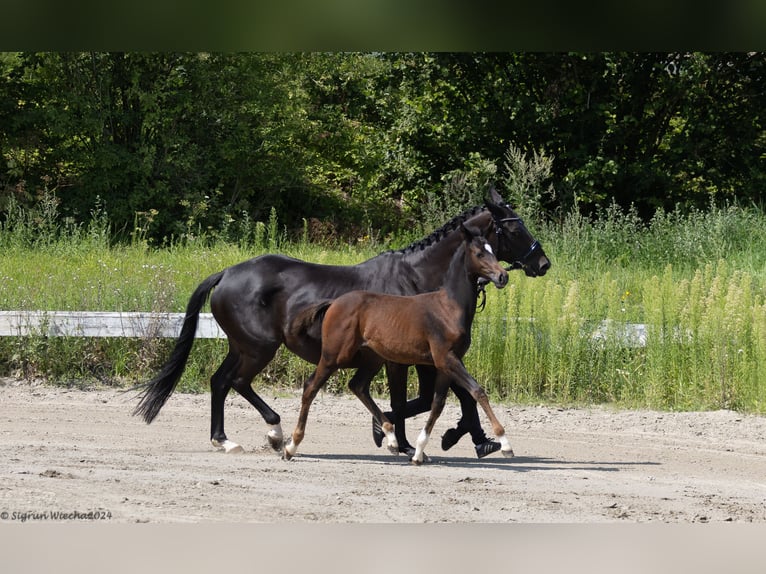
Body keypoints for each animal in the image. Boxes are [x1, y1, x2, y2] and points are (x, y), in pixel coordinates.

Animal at [134, 189, 552, 460]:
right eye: (515, 229)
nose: (542, 263)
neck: (418, 279)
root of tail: (225, 274)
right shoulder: (408, 358)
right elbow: (416, 399)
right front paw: (406, 439)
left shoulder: (426, 356)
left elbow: (441, 397)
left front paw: (464, 438)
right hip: (259, 347)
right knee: (236, 382)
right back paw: (276, 432)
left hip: (242, 345)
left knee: (220, 381)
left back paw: (225, 440)